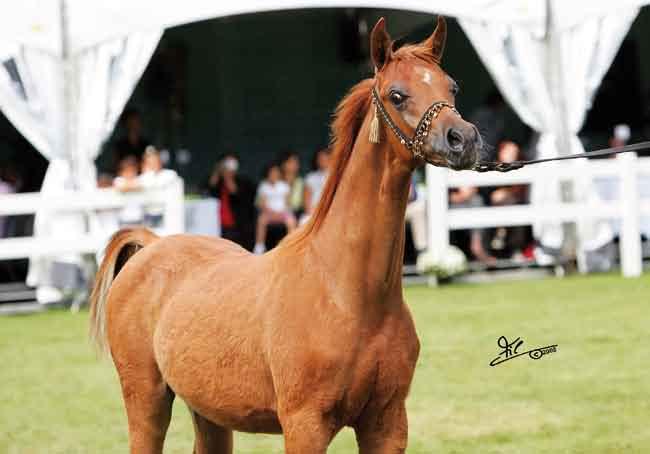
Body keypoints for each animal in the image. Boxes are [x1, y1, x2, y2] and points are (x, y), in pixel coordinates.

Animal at [88, 17, 478, 454]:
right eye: (397, 94)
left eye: (451, 87)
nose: (463, 139)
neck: (347, 293)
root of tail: (151, 247)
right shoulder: (304, 425)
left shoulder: (387, 423)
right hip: (147, 400)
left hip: (210, 414)